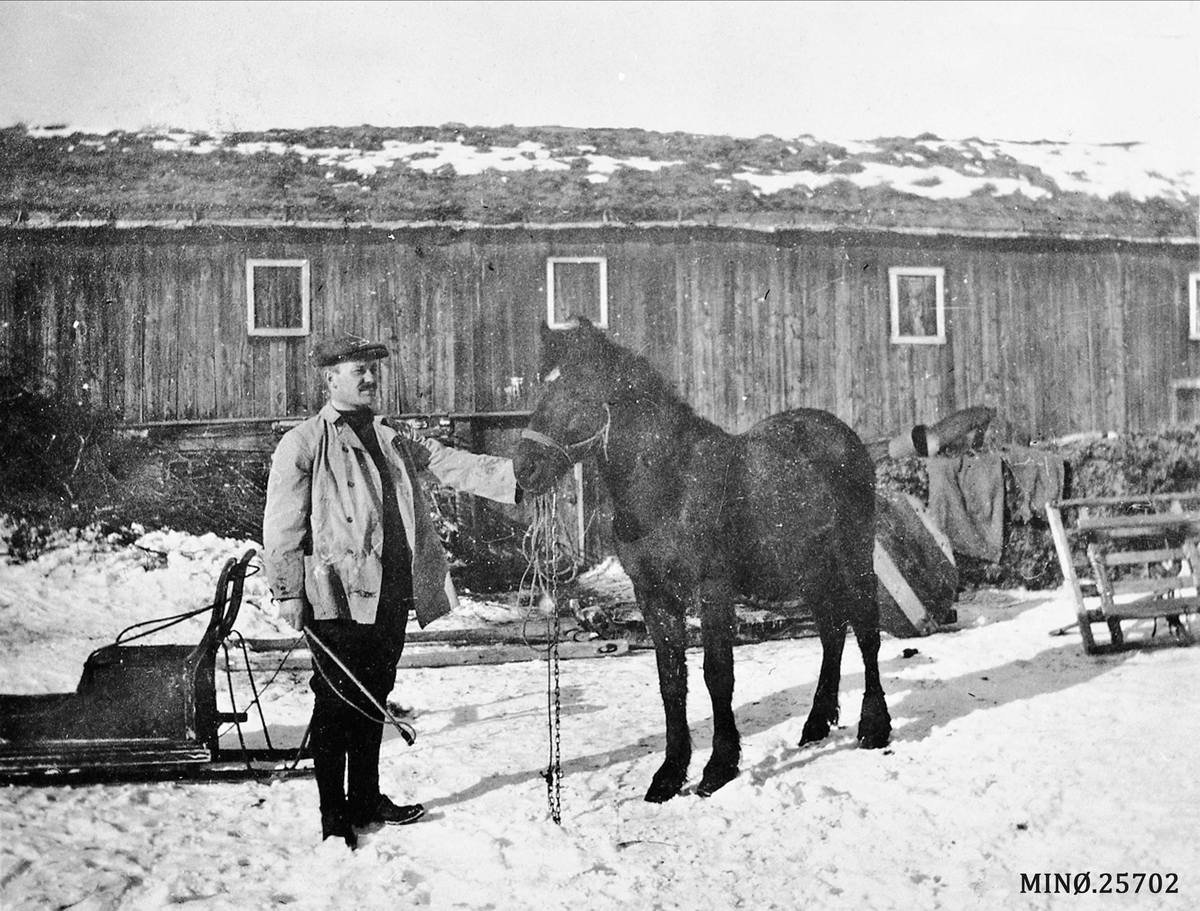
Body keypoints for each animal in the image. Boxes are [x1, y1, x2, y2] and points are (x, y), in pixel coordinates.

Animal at [516, 321, 892, 806]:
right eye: (541, 387)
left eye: (578, 391)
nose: (523, 468)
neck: (668, 487)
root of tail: (843, 436)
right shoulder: (653, 595)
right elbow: (671, 680)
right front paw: (669, 774)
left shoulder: (711, 589)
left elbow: (717, 673)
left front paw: (719, 768)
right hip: (810, 570)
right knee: (831, 633)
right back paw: (815, 724)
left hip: (853, 557)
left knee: (866, 632)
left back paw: (875, 727)